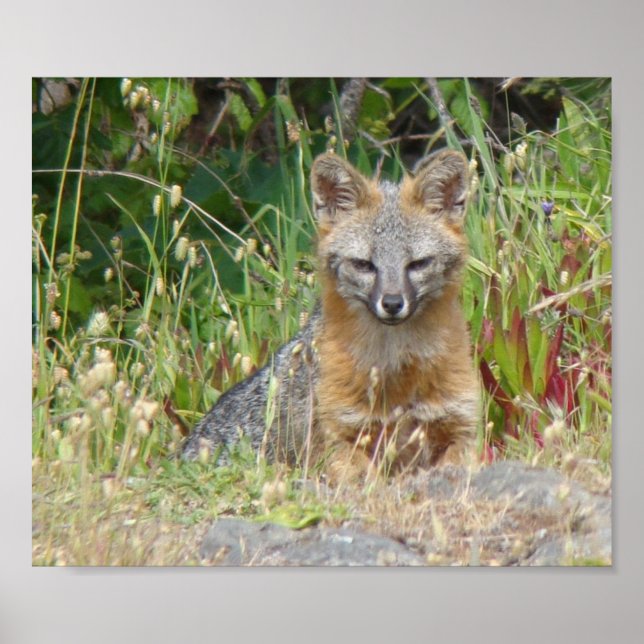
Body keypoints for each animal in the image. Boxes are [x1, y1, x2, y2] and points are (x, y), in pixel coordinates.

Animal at [182, 148, 480, 480]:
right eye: (364, 265)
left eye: (418, 264)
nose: (392, 303)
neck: (397, 365)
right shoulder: (341, 436)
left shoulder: (457, 426)